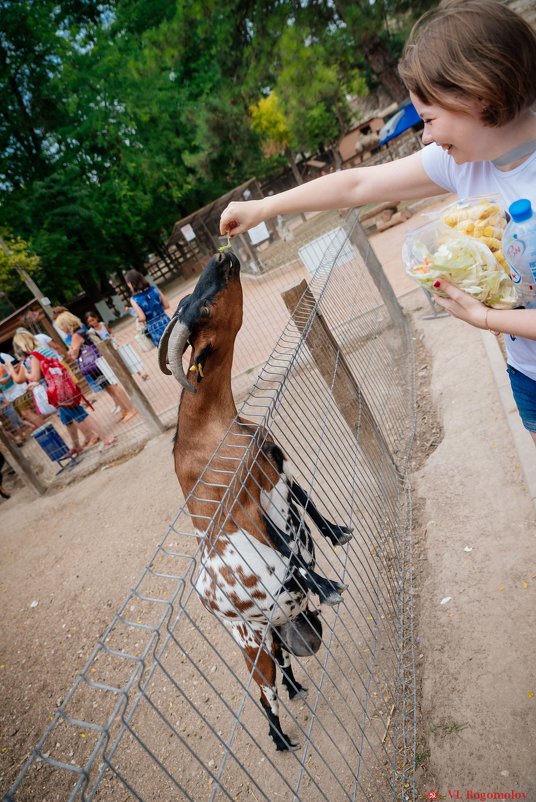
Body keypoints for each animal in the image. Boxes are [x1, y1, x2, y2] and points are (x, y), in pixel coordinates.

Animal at [159, 252, 352, 752]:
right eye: (203, 307)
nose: (224, 257)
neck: (210, 437)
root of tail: (209, 602)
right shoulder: (242, 509)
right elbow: (285, 547)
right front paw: (328, 586)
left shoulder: (275, 465)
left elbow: (308, 503)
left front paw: (339, 533)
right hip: (250, 643)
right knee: (263, 695)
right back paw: (281, 741)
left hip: (277, 634)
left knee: (283, 667)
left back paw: (297, 687)